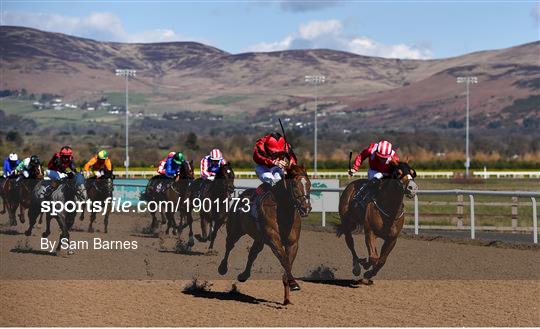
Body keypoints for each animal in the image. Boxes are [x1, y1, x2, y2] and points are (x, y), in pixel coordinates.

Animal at [216, 164, 310, 304]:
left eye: (309, 184)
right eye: (294, 184)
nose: (306, 208)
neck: (283, 211)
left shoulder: (293, 243)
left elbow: (288, 262)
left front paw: (287, 295)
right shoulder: (273, 239)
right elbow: (284, 259)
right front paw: (293, 283)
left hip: (259, 238)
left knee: (253, 253)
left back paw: (244, 275)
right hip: (235, 230)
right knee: (229, 245)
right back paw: (222, 268)